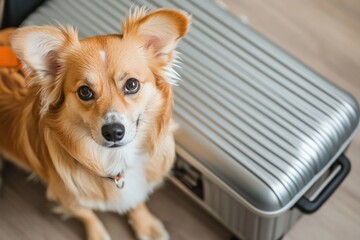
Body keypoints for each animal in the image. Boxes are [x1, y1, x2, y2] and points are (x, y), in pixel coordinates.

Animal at [0, 7, 191, 240]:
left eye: (132, 84)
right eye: (85, 92)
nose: (114, 132)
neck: (116, 159)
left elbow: (135, 201)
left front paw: (145, 224)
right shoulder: (65, 197)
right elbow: (88, 214)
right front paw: (98, 234)